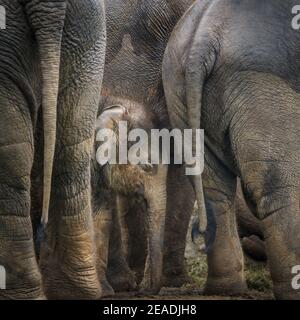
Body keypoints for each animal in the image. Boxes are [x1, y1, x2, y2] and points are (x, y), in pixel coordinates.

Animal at [163, 0, 300, 300]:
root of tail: (204, 35)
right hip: (261, 84)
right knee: (278, 188)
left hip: (177, 86)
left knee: (212, 188)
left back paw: (225, 289)